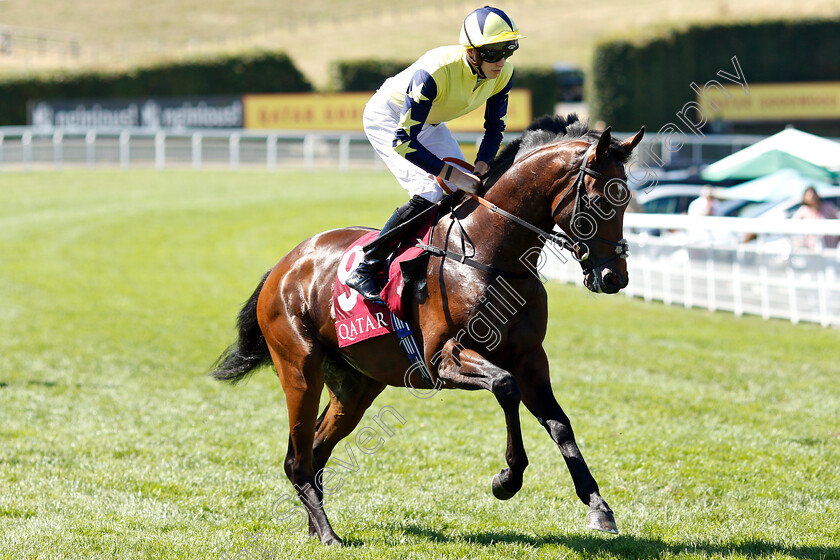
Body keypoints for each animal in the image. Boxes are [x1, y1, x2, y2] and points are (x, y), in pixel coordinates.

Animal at [213, 116, 648, 544]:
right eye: (599, 200)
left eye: (626, 198)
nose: (615, 277)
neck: (489, 254)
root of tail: (284, 265)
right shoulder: (443, 358)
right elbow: (505, 387)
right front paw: (507, 478)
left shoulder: (530, 358)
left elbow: (559, 423)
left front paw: (598, 506)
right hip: (300, 369)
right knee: (297, 459)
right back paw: (328, 533)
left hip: (356, 386)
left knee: (316, 450)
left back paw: (314, 528)